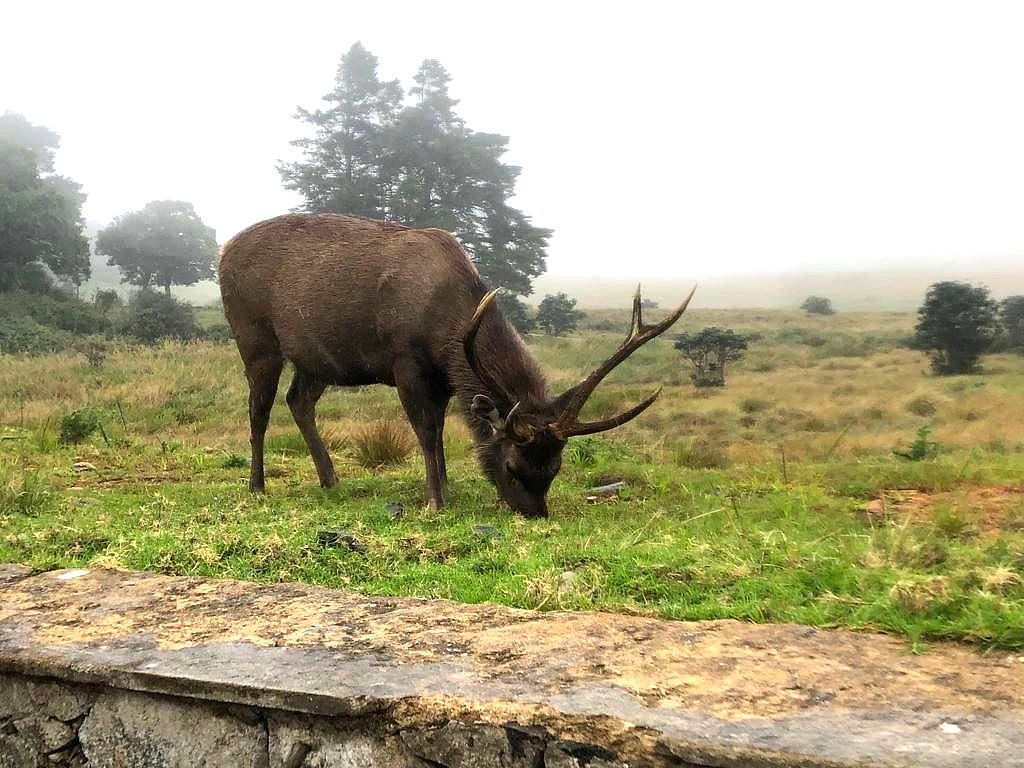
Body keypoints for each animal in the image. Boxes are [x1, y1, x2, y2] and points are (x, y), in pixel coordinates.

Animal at [219, 213, 694, 518]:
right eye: (512, 466)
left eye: (556, 468)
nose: (535, 513)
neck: (445, 329)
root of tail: (222, 252)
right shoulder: (405, 362)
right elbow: (426, 431)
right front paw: (434, 501)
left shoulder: (444, 376)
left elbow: (443, 428)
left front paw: (445, 487)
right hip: (254, 336)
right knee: (259, 408)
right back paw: (257, 485)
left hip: (316, 358)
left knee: (299, 401)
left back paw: (330, 479)